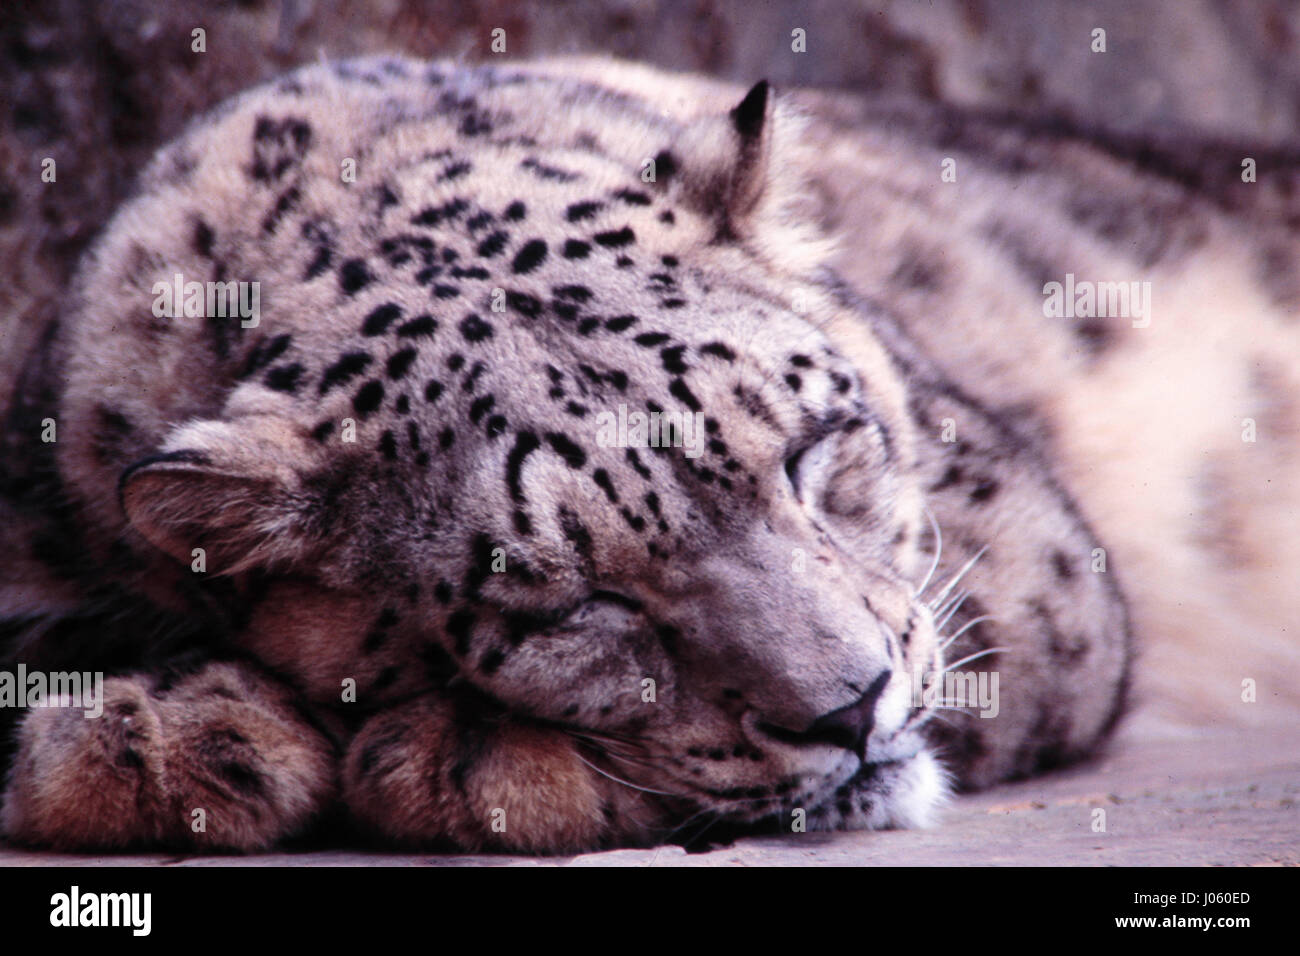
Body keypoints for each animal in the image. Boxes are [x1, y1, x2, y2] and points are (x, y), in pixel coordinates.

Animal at [2, 53, 1295, 855]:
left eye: (811, 449)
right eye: (578, 606)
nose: (852, 707)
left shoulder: (1022, 548)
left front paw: (463, 759)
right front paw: (156, 734)